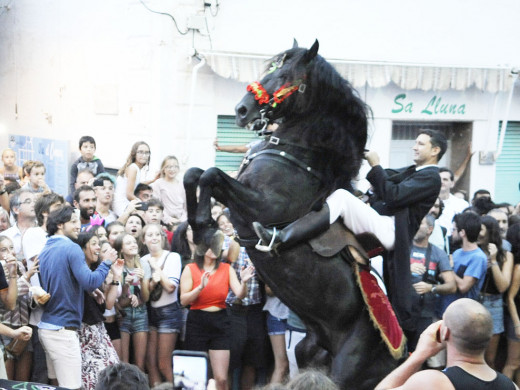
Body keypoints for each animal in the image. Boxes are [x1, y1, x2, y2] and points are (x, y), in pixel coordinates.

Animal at [186, 40, 402, 390]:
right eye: (270, 70)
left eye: (286, 75)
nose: (242, 110)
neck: (298, 155)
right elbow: (194, 174)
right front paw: (198, 227)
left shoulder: (262, 206)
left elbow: (210, 175)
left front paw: (206, 227)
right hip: (307, 353)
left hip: (347, 367)